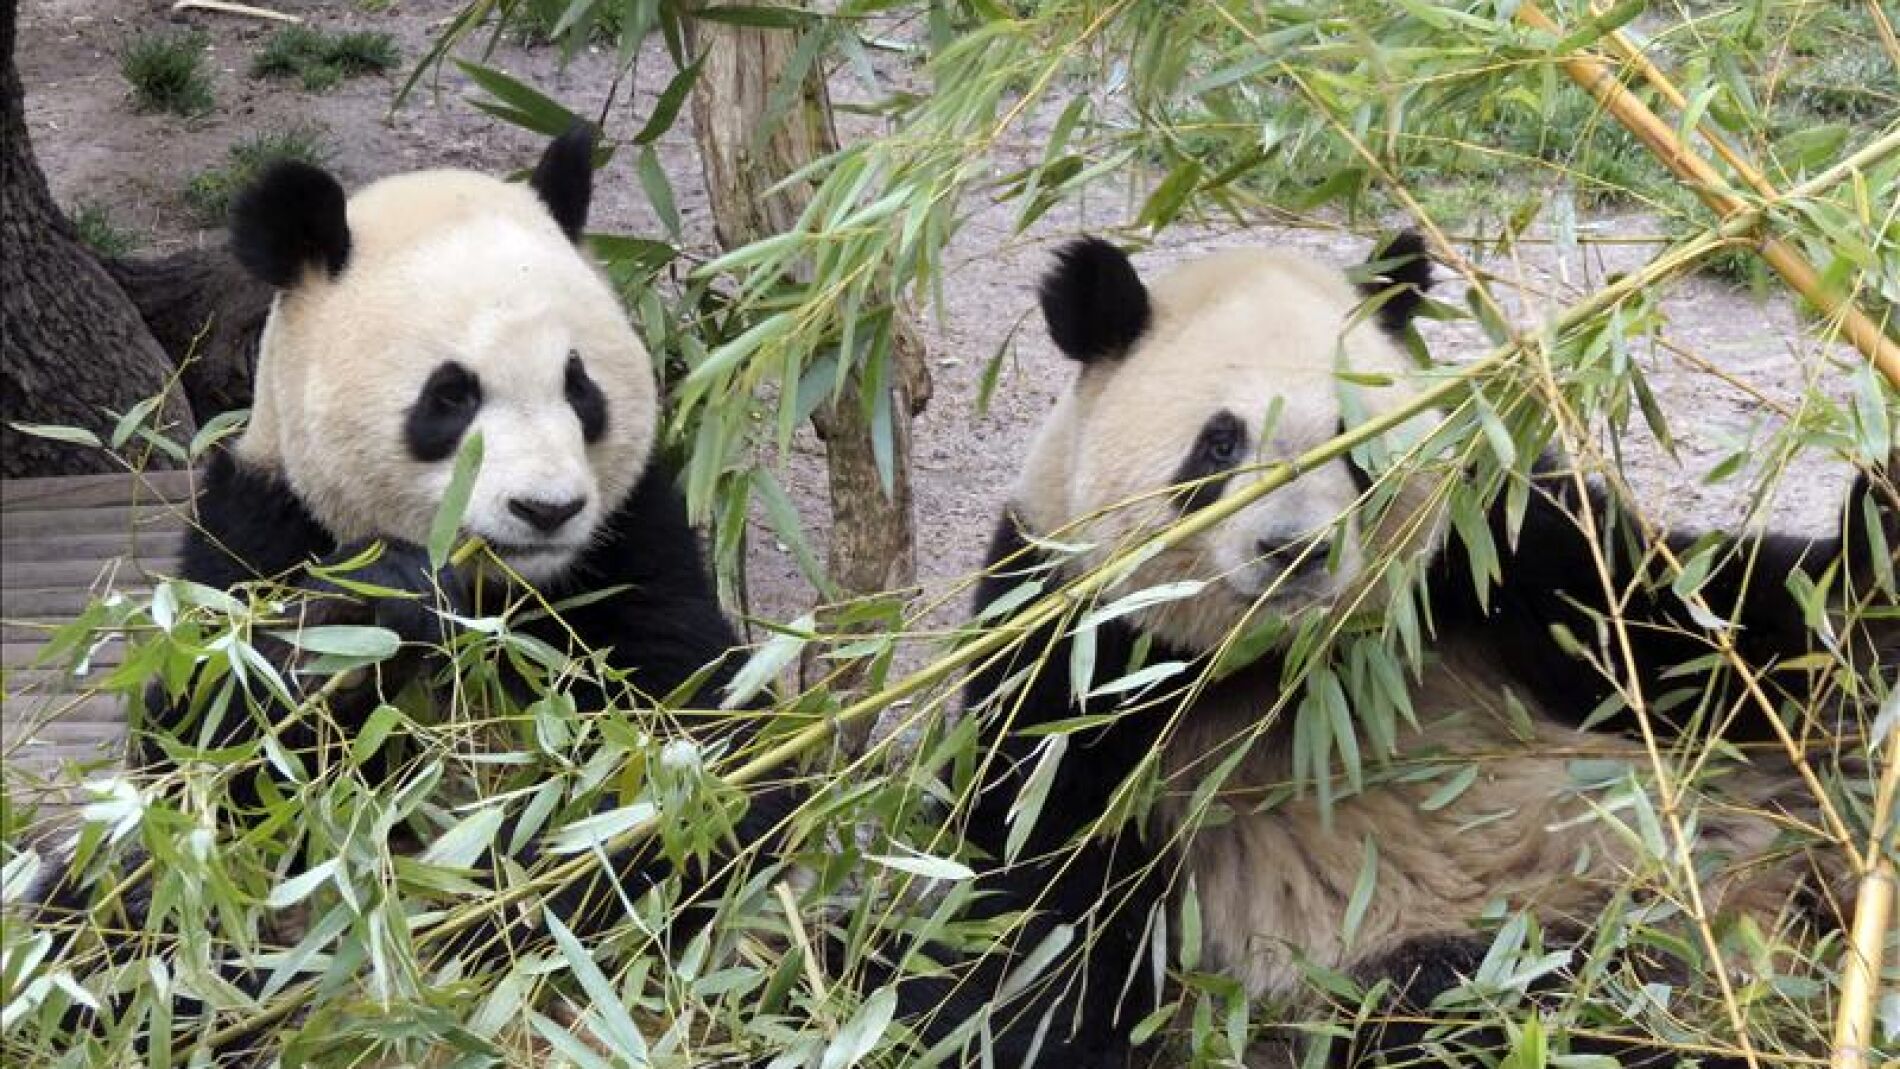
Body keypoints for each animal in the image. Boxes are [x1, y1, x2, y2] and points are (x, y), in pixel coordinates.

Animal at [31, 129, 792, 1043]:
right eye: (451, 394)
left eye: (580, 386)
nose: (546, 508)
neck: (502, 591)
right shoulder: (261, 526)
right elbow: (216, 755)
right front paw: (387, 601)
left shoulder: (629, 543)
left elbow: (704, 761)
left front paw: (511, 902)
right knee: (111, 927)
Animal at [897, 234, 1895, 1067]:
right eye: (1219, 444)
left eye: (1351, 440)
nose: (1295, 548)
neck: (1288, 658)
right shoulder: (1075, 646)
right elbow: (1036, 895)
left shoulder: (1491, 548)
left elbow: (1687, 639)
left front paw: (1878, 516)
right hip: (1472, 953)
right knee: (1494, 1011)